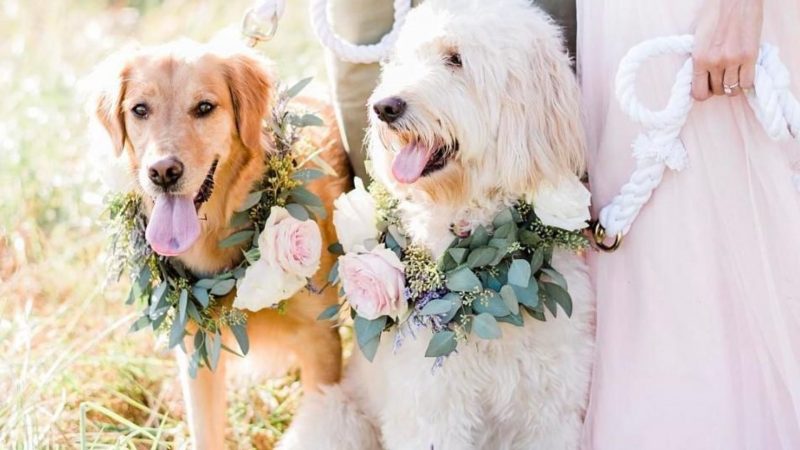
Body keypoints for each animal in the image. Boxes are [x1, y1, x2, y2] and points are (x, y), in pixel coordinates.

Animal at [282, 0, 592, 448]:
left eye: (455, 59)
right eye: (401, 61)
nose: (384, 107)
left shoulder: (550, 412)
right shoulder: (431, 413)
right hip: (337, 419)